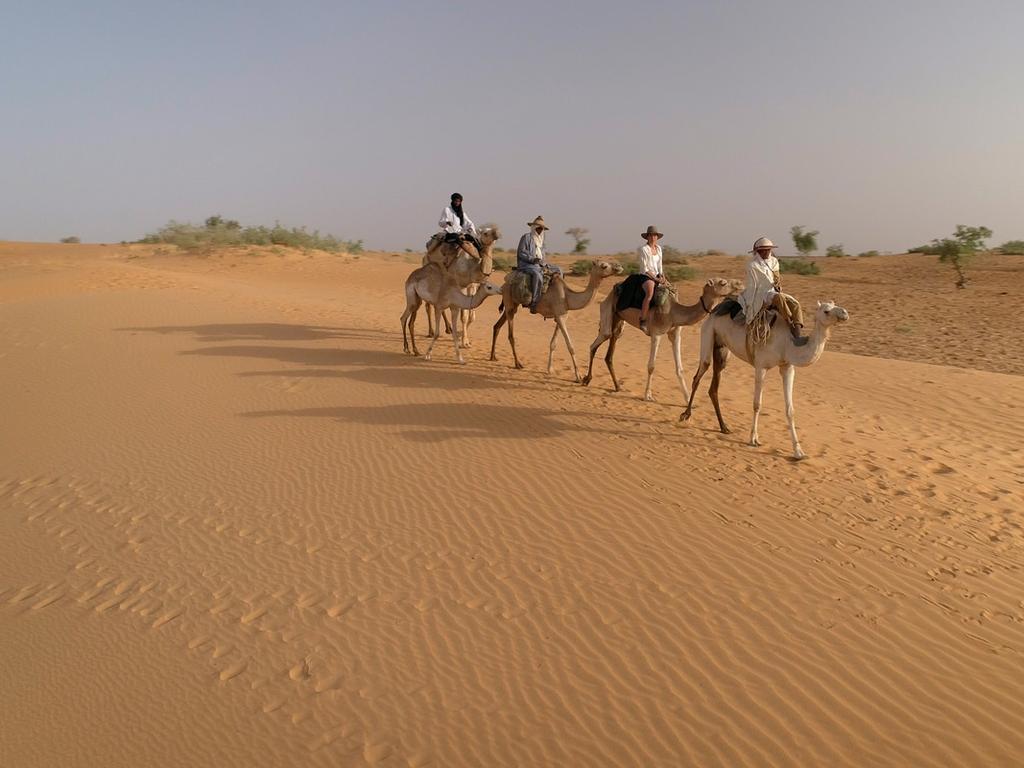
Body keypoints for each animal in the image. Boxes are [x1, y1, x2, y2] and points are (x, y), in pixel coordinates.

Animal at [487, 262, 622, 385]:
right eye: (604, 266)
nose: (619, 267)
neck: (568, 298)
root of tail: (505, 282)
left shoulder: (561, 316)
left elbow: (553, 343)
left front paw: (550, 369)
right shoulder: (560, 316)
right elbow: (570, 345)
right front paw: (578, 376)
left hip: (512, 305)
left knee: (497, 326)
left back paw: (493, 357)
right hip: (509, 301)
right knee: (511, 335)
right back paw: (518, 363)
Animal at [581, 278, 741, 403]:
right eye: (723, 282)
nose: (739, 284)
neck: (673, 312)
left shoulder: (675, 334)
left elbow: (680, 368)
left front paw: (687, 399)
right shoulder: (656, 333)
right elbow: (651, 366)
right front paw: (648, 395)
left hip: (619, 320)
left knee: (610, 348)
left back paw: (617, 386)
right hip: (608, 309)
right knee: (598, 341)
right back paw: (586, 379)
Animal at [679, 296, 847, 460]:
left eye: (834, 304)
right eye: (826, 311)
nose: (844, 313)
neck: (787, 344)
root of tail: (714, 311)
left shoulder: (787, 367)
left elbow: (790, 409)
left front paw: (798, 451)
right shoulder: (761, 366)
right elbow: (757, 404)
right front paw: (753, 439)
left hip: (722, 348)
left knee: (713, 386)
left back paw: (724, 427)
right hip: (708, 332)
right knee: (699, 374)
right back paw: (685, 415)